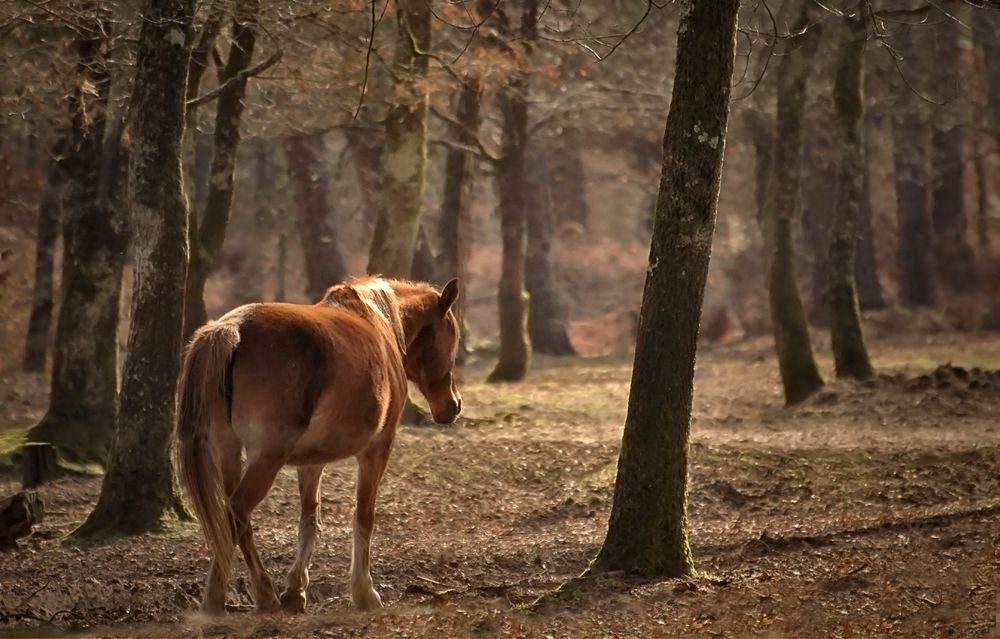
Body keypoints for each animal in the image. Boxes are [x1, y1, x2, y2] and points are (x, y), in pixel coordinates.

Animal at [177, 276, 464, 616]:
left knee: (238, 521)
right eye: (453, 337)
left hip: (229, 450)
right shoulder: (377, 450)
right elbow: (364, 517)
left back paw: (265, 595)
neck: (379, 320)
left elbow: (309, 518)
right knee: (236, 512)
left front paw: (295, 590)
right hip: (266, 458)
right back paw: (217, 600)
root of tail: (231, 328)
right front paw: (365, 593)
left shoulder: (311, 461)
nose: (454, 406)